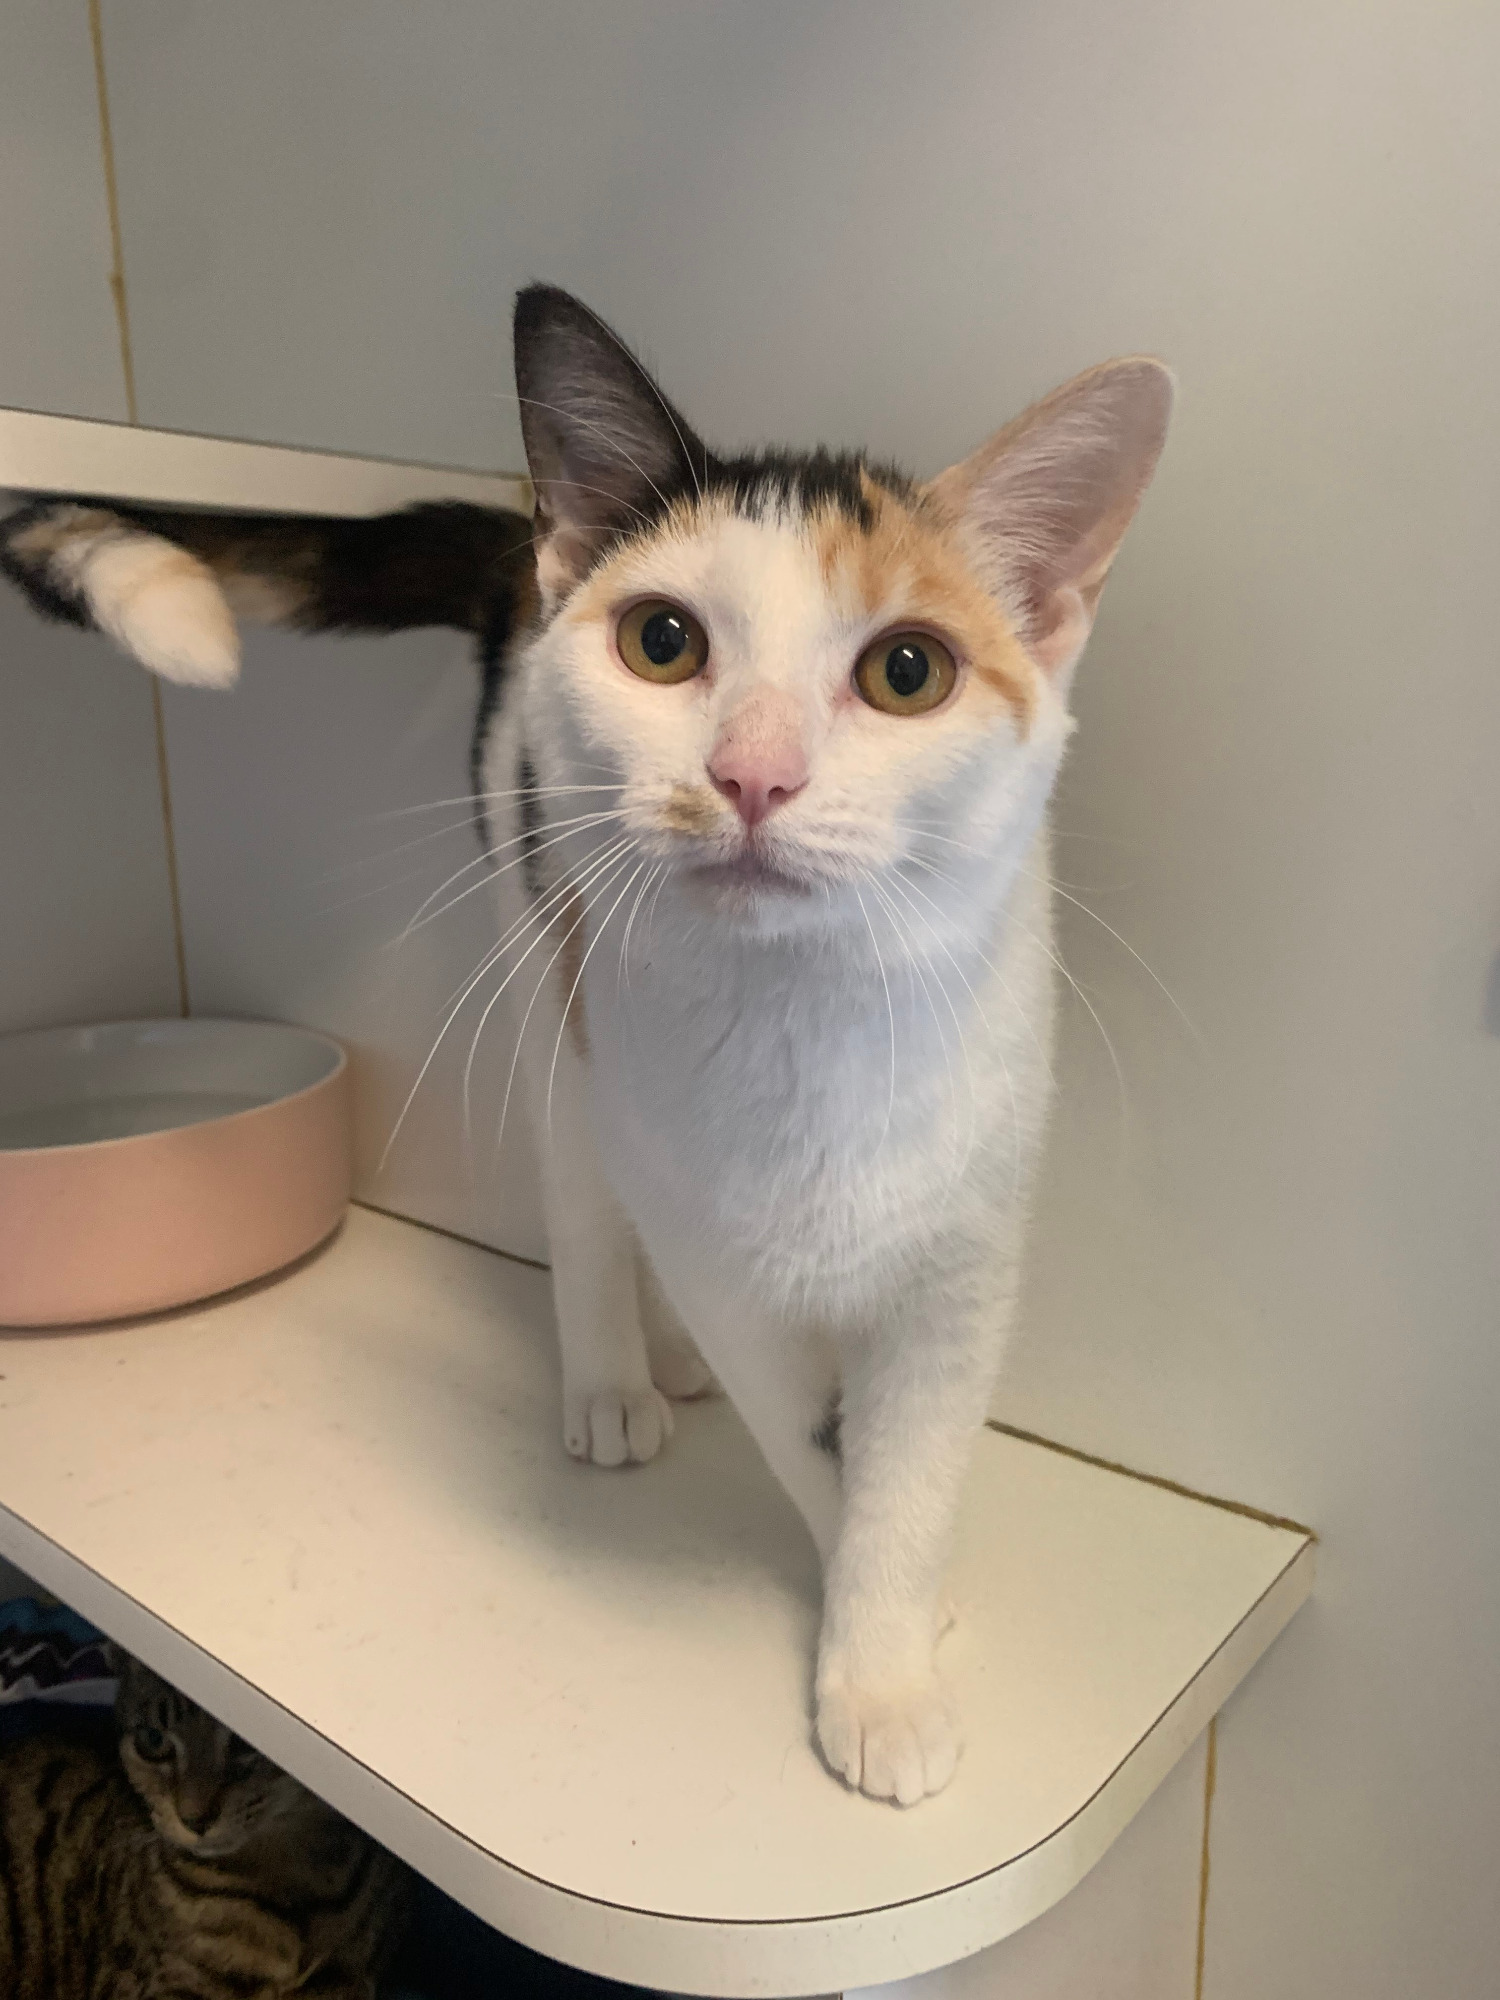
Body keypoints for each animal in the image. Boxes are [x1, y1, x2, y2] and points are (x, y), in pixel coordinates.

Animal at [0, 286, 1171, 1805]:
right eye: (664, 642)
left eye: (908, 670)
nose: (752, 774)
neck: (803, 1012)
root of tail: (526, 551)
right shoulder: (717, 1237)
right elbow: (806, 1433)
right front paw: (878, 1648)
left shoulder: (964, 1266)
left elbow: (909, 1458)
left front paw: (891, 1632)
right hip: (548, 962)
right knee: (589, 1178)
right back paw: (617, 1373)